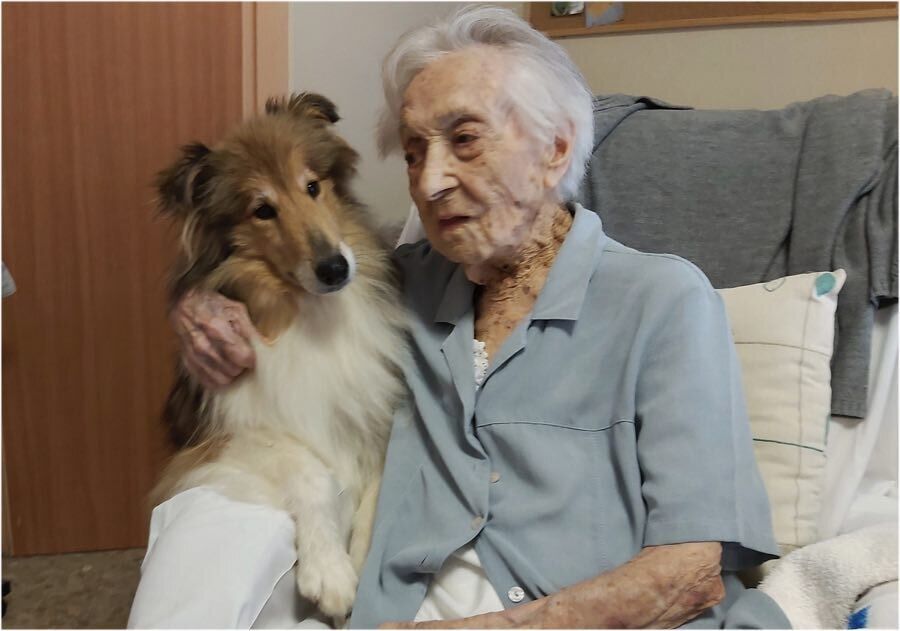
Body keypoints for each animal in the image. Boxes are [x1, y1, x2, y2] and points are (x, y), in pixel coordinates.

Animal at [152, 94, 412, 624]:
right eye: (262, 210)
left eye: (312, 186)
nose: (335, 268)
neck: (311, 316)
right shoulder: (225, 436)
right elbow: (307, 467)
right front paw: (331, 574)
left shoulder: (374, 423)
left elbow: (378, 496)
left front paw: (360, 571)